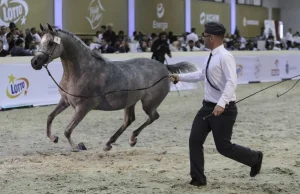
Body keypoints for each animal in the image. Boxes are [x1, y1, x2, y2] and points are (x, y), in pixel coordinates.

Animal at [30, 23, 197, 152]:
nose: (34, 62)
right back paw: (109, 143)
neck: (82, 71)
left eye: (51, 43)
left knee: (153, 117)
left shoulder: (83, 107)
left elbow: (67, 130)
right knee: (129, 120)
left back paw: (131, 139)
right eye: (39, 43)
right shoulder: (65, 101)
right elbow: (50, 117)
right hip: (130, 102)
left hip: (148, 103)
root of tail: (164, 67)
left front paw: (77, 146)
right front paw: (53, 138)